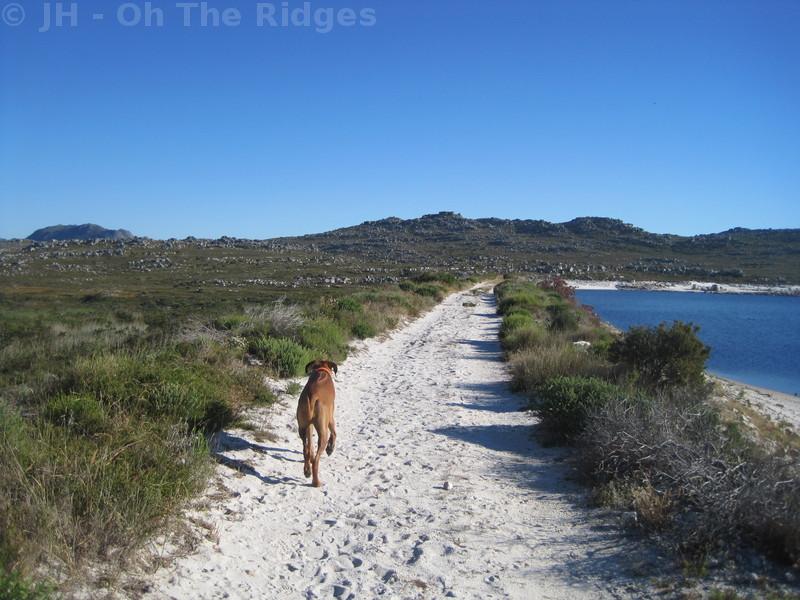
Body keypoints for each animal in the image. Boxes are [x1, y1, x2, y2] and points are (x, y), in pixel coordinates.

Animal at [298, 360, 340, 488]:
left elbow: (310, 446)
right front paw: (330, 448)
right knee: (316, 460)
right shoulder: (330, 415)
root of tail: (312, 396)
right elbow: (334, 432)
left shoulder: (309, 425)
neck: (321, 370)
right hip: (323, 431)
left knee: (305, 450)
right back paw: (316, 482)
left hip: (302, 426)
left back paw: (307, 471)